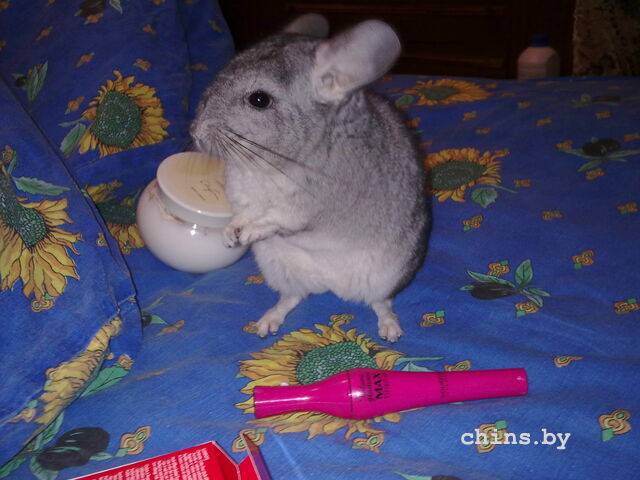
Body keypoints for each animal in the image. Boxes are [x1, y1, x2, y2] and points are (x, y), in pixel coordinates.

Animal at [190, 14, 429, 342]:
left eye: (259, 99)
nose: (195, 132)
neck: (266, 164)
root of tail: (329, 283)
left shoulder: (306, 209)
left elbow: (276, 219)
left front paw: (249, 233)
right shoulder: (244, 197)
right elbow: (244, 214)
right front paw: (230, 234)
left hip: (387, 276)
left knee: (381, 302)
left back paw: (390, 330)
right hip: (278, 270)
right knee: (293, 297)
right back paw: (266, 323)